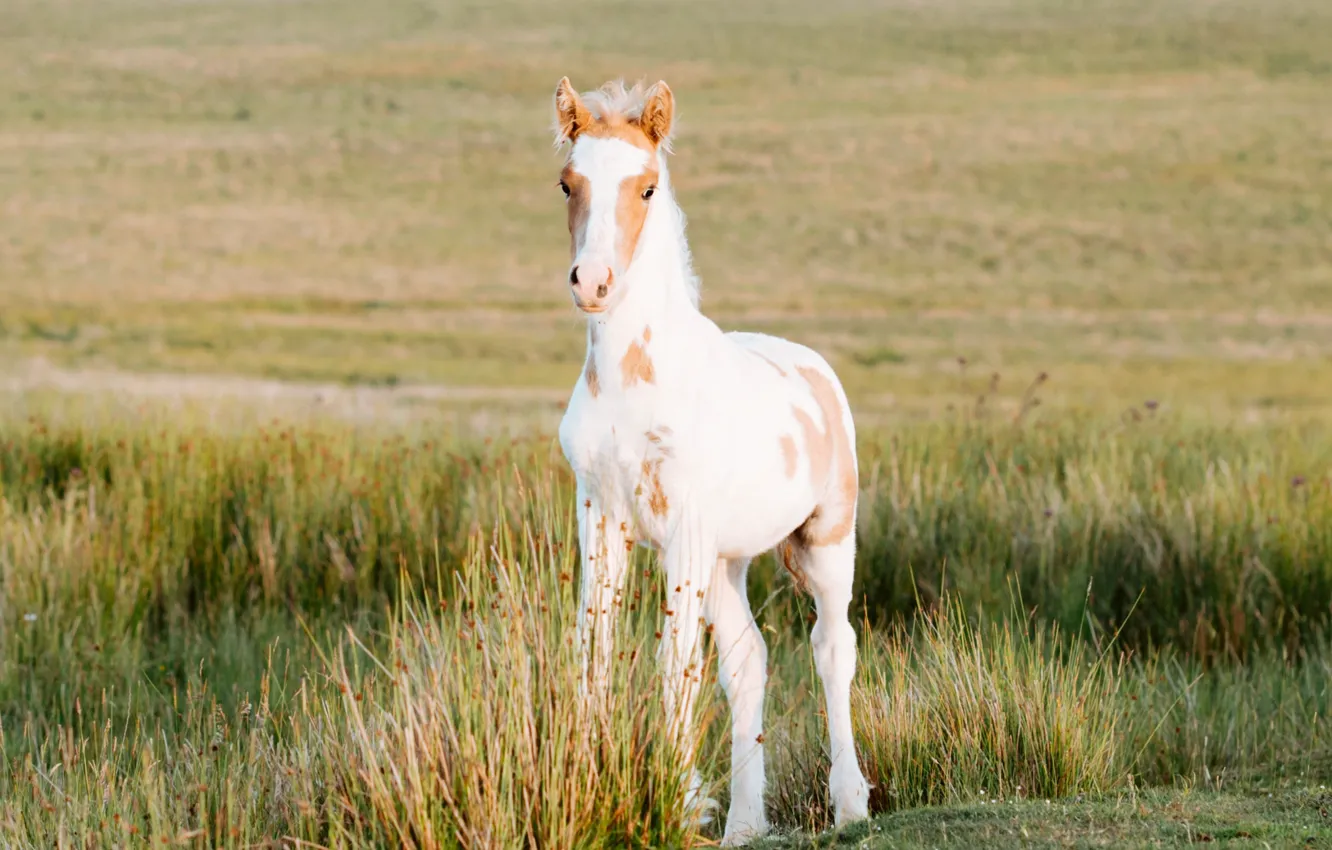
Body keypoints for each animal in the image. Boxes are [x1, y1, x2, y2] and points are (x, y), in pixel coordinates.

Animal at [552, 77, 871, 845]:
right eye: (567, 182)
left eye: (646, 186)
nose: (593, 283)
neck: (635, 383)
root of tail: (812, 366)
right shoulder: (601, 519)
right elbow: (595, 649)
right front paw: (592, 784)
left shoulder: (686, 532)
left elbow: (675, 663)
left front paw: (675, 800)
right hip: (728, 561)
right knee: (748, 659)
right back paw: (746, 823)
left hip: (823, 539)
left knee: (832, 646)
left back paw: (850, 802)